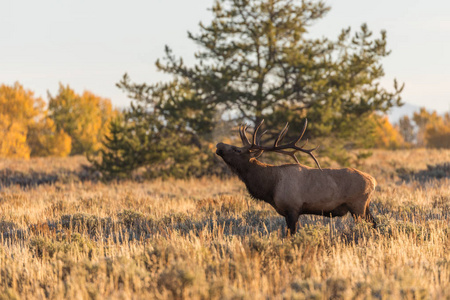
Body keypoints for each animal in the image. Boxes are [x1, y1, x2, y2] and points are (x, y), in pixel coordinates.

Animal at [216, 119, 378, 234]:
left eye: (236, 150)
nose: (218, 145)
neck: (271, 186)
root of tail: (373, 181)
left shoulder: (292, 208)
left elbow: (290, 234)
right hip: (365, 206)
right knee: (375, 224)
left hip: (357, 205)